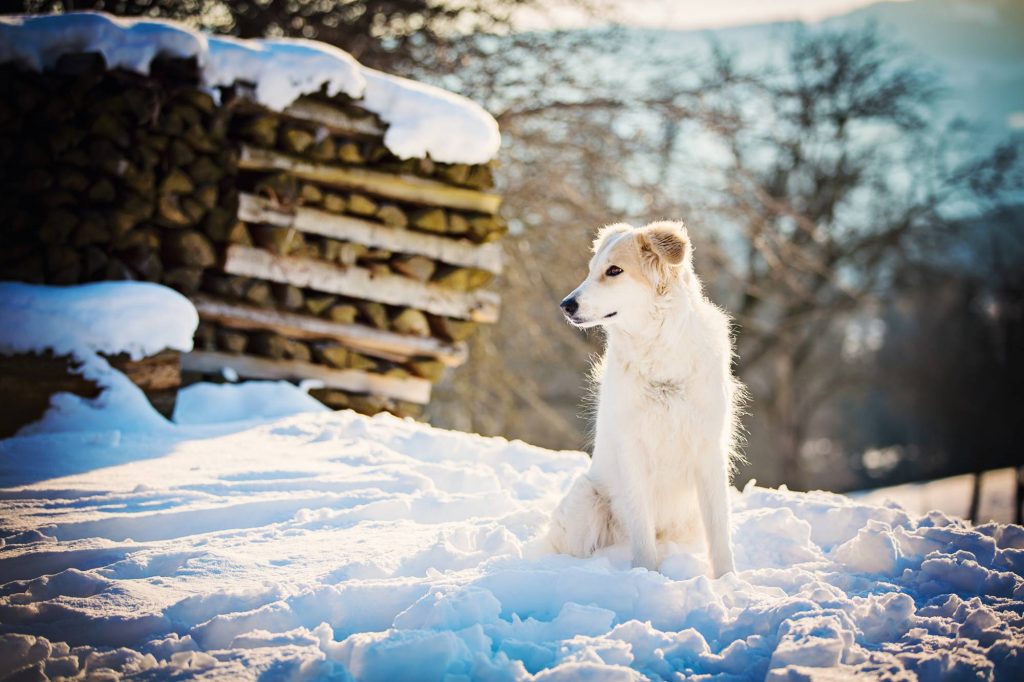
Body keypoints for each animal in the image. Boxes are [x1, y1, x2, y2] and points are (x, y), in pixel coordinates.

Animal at [548, 222, 741, 573]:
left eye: (614, 270)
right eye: (591, 270)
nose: (566, 305)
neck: (659, 354)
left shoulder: (708, 451)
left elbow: (720, 534)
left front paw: (728, 580)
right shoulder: (632, 450)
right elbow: (641, 529)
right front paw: (646, 575)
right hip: (587, 497)